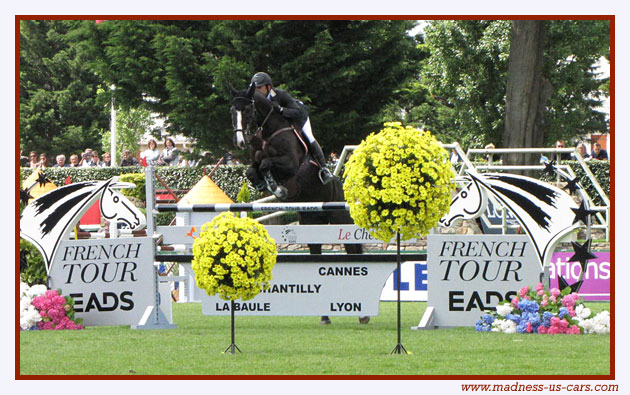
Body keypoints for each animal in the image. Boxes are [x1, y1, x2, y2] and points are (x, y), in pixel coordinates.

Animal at [230, 83, 368, 324]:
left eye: (246, 111)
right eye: (231, 112)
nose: (239, 143)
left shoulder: (290, 164)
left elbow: (266, 163)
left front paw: (277, 187)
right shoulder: (255, 159)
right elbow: (253, 169)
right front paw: (265, 183)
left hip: (339, 218)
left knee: (353, 251)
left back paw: (362, 315)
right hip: (311, 221)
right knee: (315, 253)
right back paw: (325, 317)